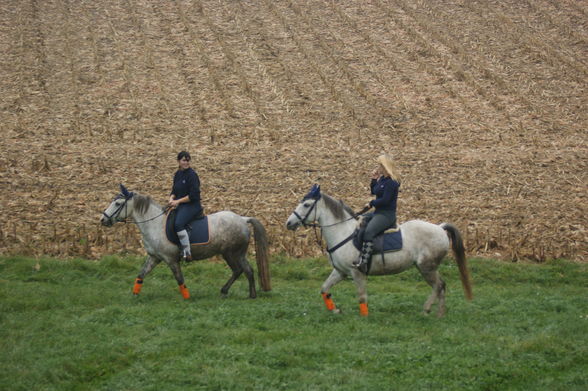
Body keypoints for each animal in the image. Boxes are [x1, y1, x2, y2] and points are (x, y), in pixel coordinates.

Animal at [100, 185, 270, 298]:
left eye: (117, 203)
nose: (103, 220)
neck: (155, 224)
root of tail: (242, 219)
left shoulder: (171, 259)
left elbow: (179, 278)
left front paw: (187, 297)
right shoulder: (154, 257)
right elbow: (141, 275)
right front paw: (134, 294)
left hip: (233, 253)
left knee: (243, 270)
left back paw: (244, 293)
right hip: (233, 254)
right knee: (243, 270)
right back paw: (238, 293)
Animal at [286, 185, 474, 318]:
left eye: (306, 204)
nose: (289, 223)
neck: (342, 231)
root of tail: (440, 228)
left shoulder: (357, 272)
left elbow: (362, 296)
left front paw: (364, 317)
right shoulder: (340, 272)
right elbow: (324, 289)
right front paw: (335, 311)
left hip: (427, 267)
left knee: (438, 286)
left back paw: (427, 310)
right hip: (427, 268)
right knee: (441, 286)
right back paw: (440, 314)